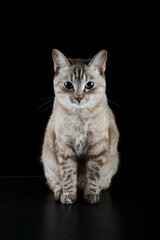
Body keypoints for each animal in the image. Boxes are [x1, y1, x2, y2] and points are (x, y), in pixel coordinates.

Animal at [41, 49, 119, 203]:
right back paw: (60, 193)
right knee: (55, 183)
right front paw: (69, 195)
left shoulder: (97, 148)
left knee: (101, 183)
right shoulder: (65, 148)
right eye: (68, 85)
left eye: (89, 85)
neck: (80, 117)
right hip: (49, 163)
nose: (78, 98)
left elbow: (93, 176)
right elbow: (68, 175)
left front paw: (91, 195)